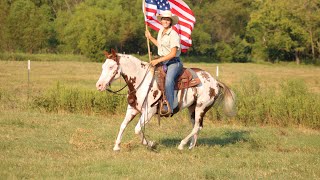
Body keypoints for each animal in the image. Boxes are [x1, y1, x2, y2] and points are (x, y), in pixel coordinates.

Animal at [95, 48, 235, 150]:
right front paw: (117, 146)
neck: (142, 80)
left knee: (196, 127)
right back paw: (191, 146)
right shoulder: (132, 109)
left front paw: (151, 144)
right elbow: (123, 125)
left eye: (111, 67)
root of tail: (215, 81)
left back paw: (182, 144)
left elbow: (137, 129)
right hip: (192, 108)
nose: (99, 85)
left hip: (202, 107)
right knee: (197, 126)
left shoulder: (149, 112)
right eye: (102, 67)